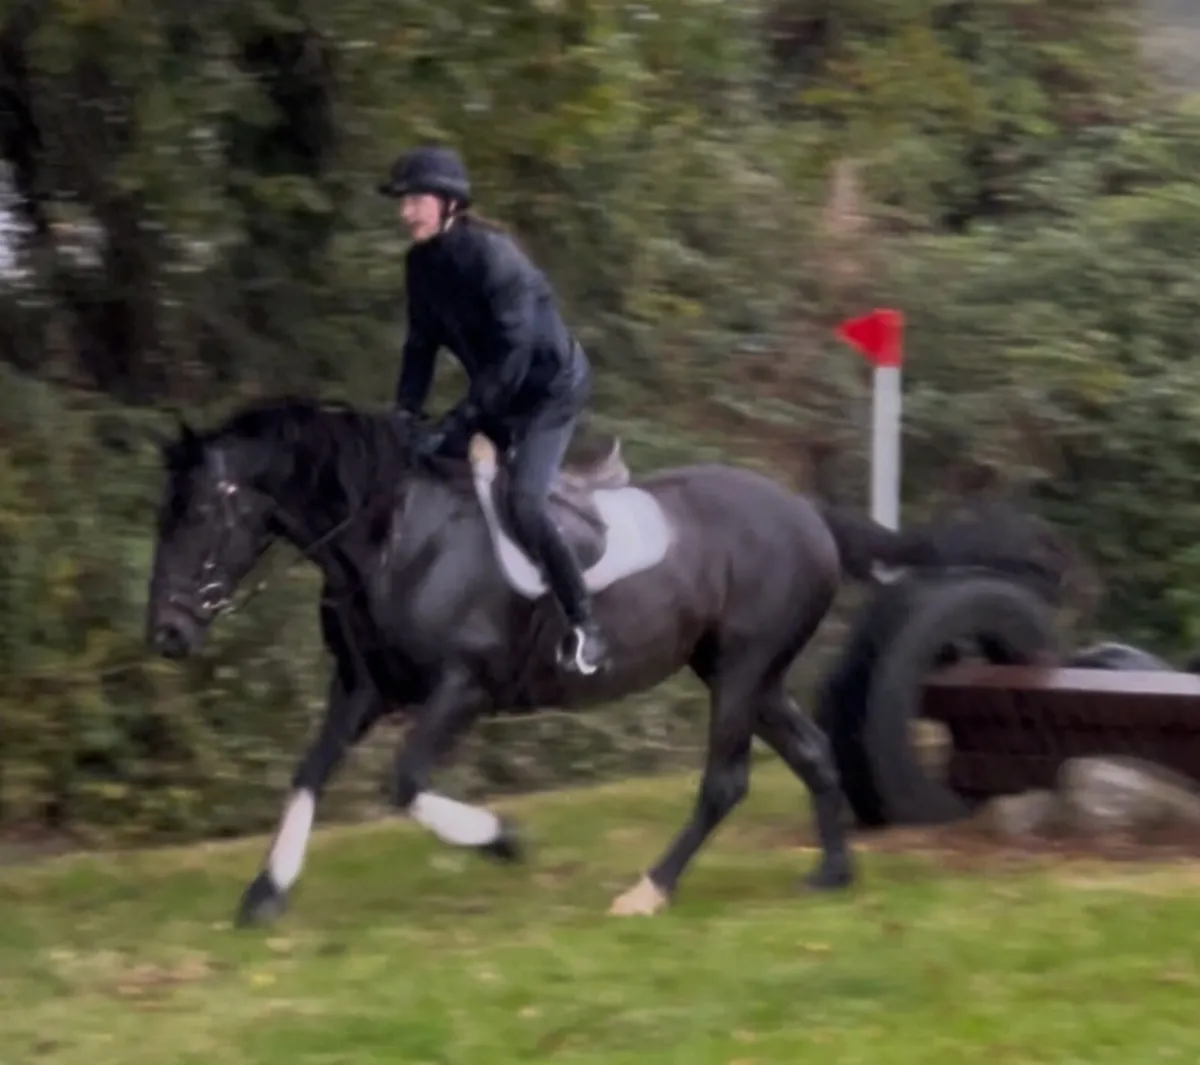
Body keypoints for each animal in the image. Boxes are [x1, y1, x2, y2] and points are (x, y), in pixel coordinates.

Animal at [144, 396, 1064, 926]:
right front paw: (266, 892)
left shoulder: (460, 688)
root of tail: (807, 512)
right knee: (809, 753)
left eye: (201, 512)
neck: (393, 539)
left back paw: (649, 890)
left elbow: (404, 783)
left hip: (741, 669)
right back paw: (832, 873)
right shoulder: (365, 687)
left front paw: (502, 838)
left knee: (725, 780)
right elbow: (308, 773)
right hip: (743, 672)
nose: (167, 635)